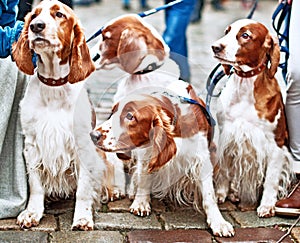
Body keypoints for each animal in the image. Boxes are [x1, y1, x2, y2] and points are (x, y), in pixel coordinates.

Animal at [12, 0, 106, 230]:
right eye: (34, 15)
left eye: (59, 14)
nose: (36, 26)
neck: (54, 86)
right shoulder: (31, 144)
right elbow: (35, 184)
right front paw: (32, 213)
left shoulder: (83, 144)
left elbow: (84, 189)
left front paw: (82, 217)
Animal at [90, 80, 236, 237]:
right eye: (112, 112)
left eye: (130, 116)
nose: (93, 135)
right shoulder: (148, 153)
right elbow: (144, 178)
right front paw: (141, 202)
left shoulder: (202, 159)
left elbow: (209, 195)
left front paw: (218, 222)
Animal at [212, 18, 294, 216]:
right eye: (227, 31)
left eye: (245, 35)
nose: (215, 47)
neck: (245, 86)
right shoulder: (227, 135)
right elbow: (224, 170)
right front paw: (220, 194)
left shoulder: (276, 145)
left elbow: (271, 178)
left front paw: (267, 205)